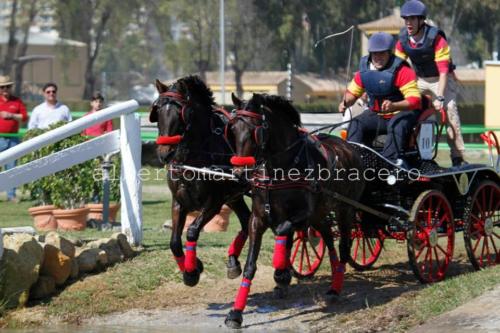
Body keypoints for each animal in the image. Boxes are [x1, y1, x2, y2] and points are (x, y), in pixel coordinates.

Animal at [147, 75, 250, 286]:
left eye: (180, 111)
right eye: (157, 109)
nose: (164, 153)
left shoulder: (214, 202)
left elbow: (192, 230)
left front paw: (191, 271)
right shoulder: (179, 201)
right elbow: (174, 242)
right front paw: (192, 266)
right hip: (234, 197)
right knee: (246, 220)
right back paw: (233, 261)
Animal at [225, 93, 366, 326]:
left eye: (256, 130)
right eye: (233, 129)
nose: (239, 173)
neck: (280, 168)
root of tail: (348, 146)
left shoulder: (301, 216)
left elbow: (283, 231)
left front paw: (281, 272)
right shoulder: (258, 219)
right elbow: (250, 265)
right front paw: (236, 313)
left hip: (345, 210)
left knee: (344, 247)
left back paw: (335, 288)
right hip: (320, 214)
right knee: (329, 239)